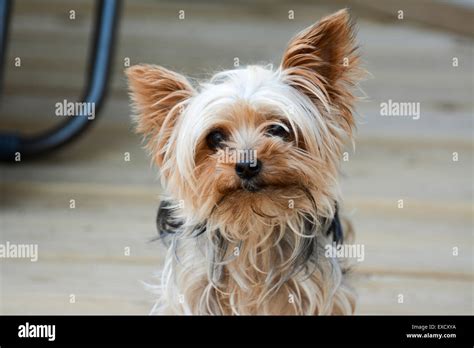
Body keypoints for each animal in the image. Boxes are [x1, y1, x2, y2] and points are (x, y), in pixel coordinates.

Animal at [126, 8, 362, 316]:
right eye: (215, 138)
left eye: (278, 129)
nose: (247, 165)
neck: (253, 227)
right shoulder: (193, 289)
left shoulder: (316, 291)